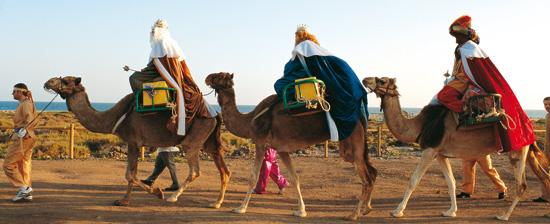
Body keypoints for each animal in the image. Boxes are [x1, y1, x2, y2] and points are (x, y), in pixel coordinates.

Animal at [43, 76, 231, 208]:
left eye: (66, 80)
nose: (48, 82)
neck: (113, 118)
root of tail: (216, 113)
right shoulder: (133, 143)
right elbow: (130, 173)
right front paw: (125, 200)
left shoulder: (133, 141)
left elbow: (130, 175)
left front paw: (155, 193)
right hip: (210, 141)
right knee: (224, 170)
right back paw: (216, 203)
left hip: (195, 136)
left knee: (195, 170)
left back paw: (173, 197)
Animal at [207, 72, 380, 220]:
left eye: (219, 76)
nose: (207, 78)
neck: (249, 121)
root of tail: (360, 115)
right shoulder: (282, 149)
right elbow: (295, 177)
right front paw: (301, 210)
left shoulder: (261, 143)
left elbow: (253, 177)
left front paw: (240, 208)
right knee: (372, 172)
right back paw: (366, 209)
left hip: (354, 142)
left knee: (366, 178)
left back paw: (354, 214)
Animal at [364, 77, 548, 220]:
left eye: (382, 80)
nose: (366, 79)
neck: (420, 124)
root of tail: (528, 125)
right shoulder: (440, 154)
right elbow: (451, 182)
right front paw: (451, 211)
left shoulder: (430, 149)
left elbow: (413, 180)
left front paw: (397, 211)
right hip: (526, 150)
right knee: (542, 175)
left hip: (517, 150)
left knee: (521, 184)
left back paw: (504, 215)